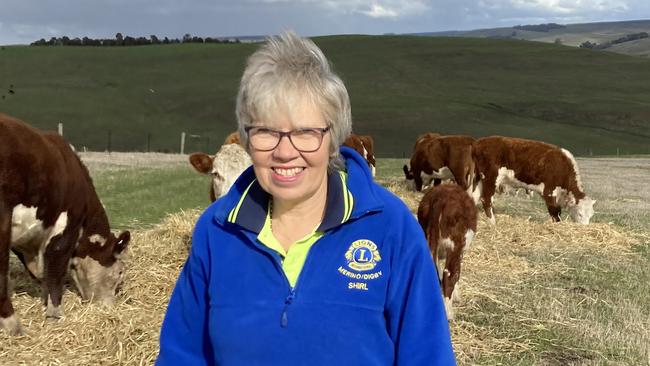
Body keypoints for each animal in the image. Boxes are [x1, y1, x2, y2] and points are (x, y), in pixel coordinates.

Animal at [0, 113, 132, 334]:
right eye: (120, 271)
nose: (110, 307)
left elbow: (44, 275)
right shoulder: (65, 228)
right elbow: (55, 272)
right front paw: (55, 314)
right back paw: (14, 326)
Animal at [468, 136, 596, 224]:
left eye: (591, 215)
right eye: (580, 214)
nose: (584, 228)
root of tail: (479, 143)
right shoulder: (549, 192)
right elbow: (555, 213)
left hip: (479, 180)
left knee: (474, 196)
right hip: (490, 178)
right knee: (486, 200)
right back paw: (493, 222)